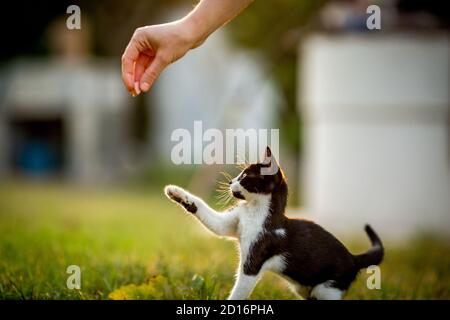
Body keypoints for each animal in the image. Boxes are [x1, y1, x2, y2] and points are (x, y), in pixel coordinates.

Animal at [164, 146, 384, 298]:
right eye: (239, 174)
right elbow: (212, 219)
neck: (254, 212)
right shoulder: (232, 222)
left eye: (245, 176)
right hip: (305, 288)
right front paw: (176, 193)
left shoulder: (255, 257)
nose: (230, 181)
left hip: (329, 287)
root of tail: (353, 258)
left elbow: (240, 290)